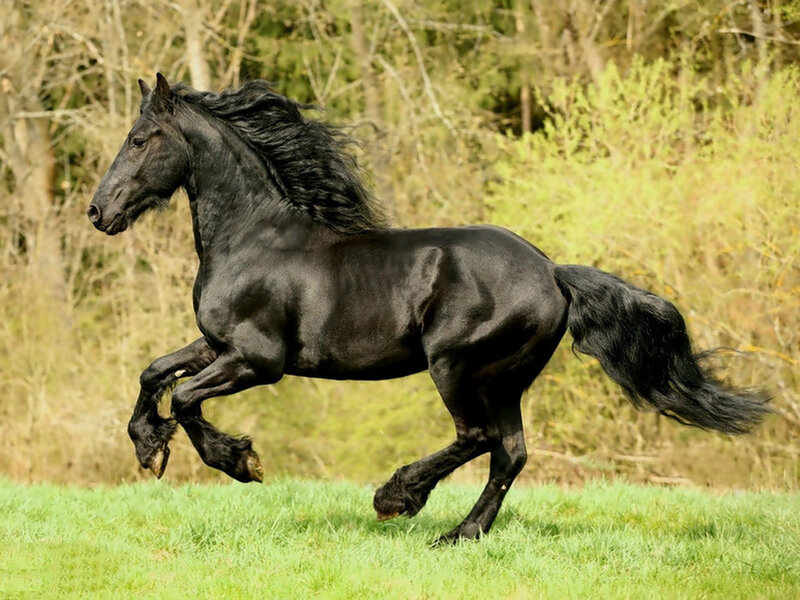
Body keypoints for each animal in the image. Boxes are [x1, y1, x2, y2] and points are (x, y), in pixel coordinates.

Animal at [88, 74, 769, 543]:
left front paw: (240, 462)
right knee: (510, 452)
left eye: (139, 139)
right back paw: (460, 534)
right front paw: (149, 448)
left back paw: (397, 499)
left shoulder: (257, 360)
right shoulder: (218, 345)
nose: (98, 212)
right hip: (505, 379)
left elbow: (184, 396)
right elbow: (154, 372)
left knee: (477, 437)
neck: (252, 238)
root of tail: (552, 272)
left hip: (456, 365)